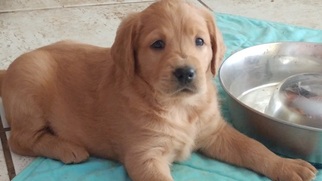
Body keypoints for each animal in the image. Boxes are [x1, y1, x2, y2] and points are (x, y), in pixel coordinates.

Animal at [0, 0, 316, 181]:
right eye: (157, 45)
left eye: (200, 41)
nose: (186, 72)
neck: (179, 107)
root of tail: (8, 71)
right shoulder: (145, 155)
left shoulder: (214, 131)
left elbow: (254, 147)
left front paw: (286, 166)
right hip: (32, 85)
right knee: (20, 139)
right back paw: (67, 148)